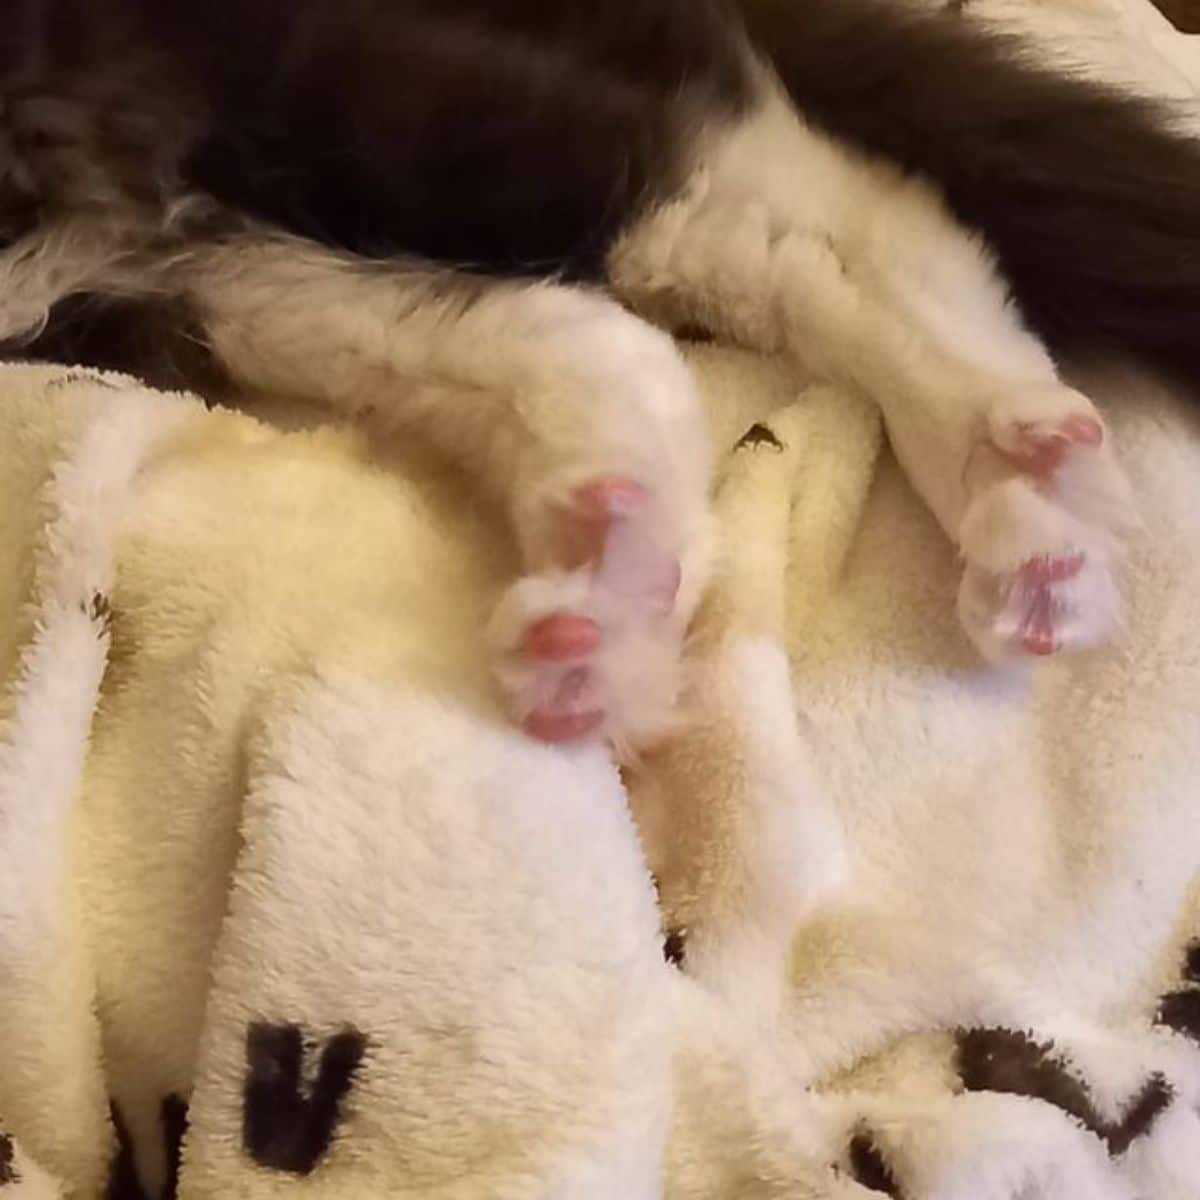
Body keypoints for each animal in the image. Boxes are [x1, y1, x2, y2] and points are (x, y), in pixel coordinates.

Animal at [0, 0, 1195, 744]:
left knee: (813, 206)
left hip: (312, 88)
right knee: (588, 332)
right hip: (164, 237)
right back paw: (609, 578)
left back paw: (1010, 465)